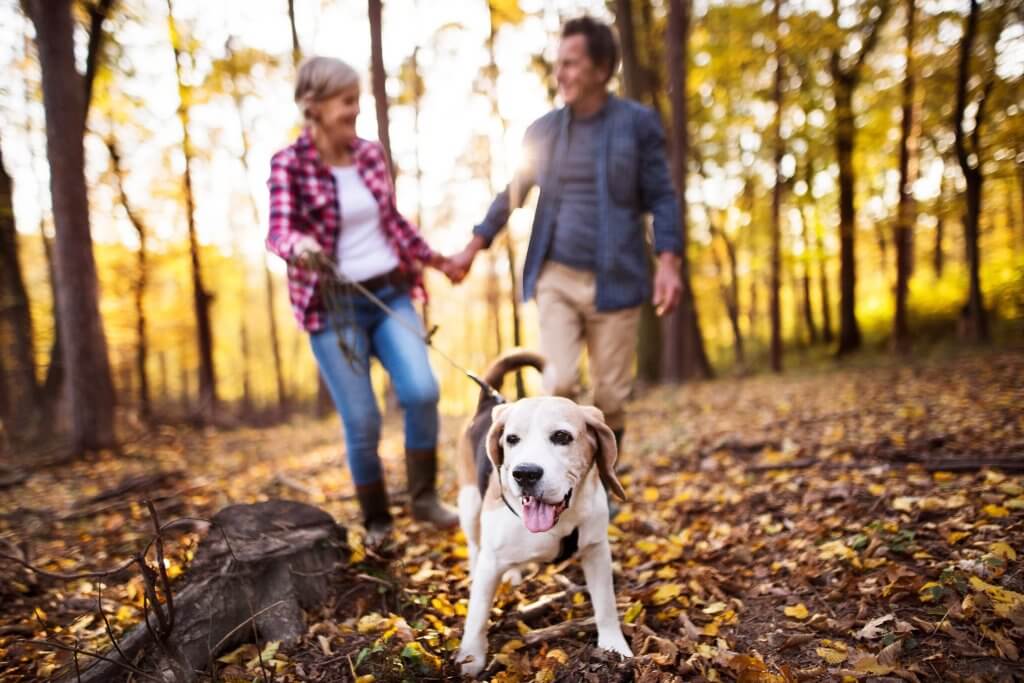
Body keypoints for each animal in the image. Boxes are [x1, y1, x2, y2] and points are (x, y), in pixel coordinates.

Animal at [456, 352, 630, 679]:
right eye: (512, 439)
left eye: (561, 436)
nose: (524, 473)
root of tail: (488, 402)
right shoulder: (490, 562)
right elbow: (477, 614)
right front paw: (470, 657)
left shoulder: (596, 550)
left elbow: (606, 604)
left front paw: (615, 647)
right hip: (470, 504)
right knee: (474, 546)